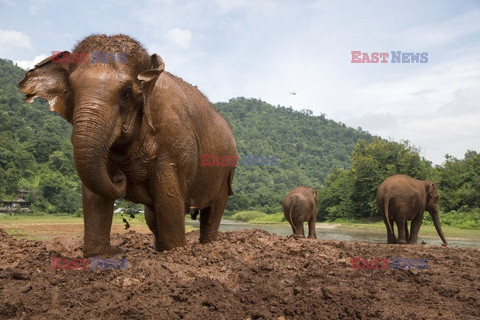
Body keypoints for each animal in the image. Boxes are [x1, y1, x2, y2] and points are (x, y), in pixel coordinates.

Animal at [18, 33, 236, 256]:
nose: (119, 177)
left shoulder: (174, 143)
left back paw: (207, 245)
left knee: (212, 212)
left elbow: (169, 201)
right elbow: (95, 197)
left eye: (126, 93)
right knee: (152, 216)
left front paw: (175, 251)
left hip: (225, 172)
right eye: (72, 90)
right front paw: (98, 255)